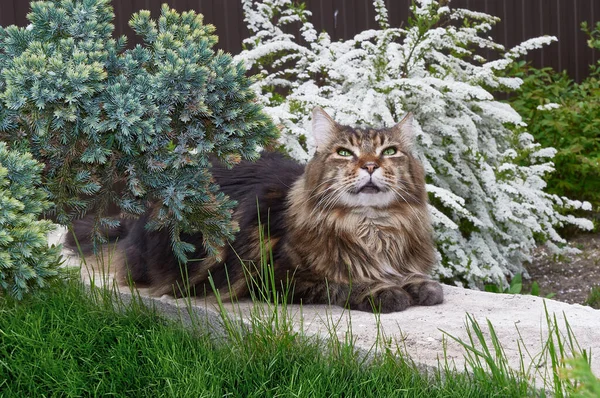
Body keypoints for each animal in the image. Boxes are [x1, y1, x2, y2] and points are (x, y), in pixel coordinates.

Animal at [67, 107, 446, 312]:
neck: (372, 228)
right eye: (344, 153)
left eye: (389, 151)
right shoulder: (276, 276)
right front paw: (384, 291)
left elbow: (418, 279)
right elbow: (340, 283)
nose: (369, 165)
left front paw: (419, 285)